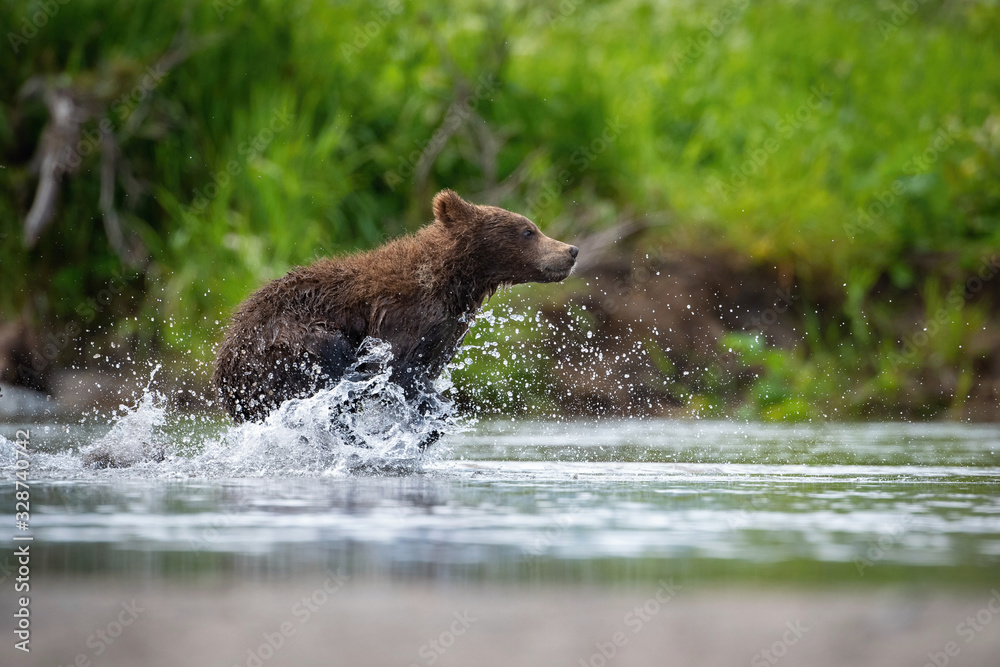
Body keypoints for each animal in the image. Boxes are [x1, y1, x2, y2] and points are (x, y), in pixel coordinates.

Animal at [212, 189, 579, 430]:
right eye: (528, 230)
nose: (571, 250)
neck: (452, 282)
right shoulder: (401, 315)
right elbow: (396, 367)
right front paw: (430, 410)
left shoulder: (445, 332)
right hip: (282, 341)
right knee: (329, 355)